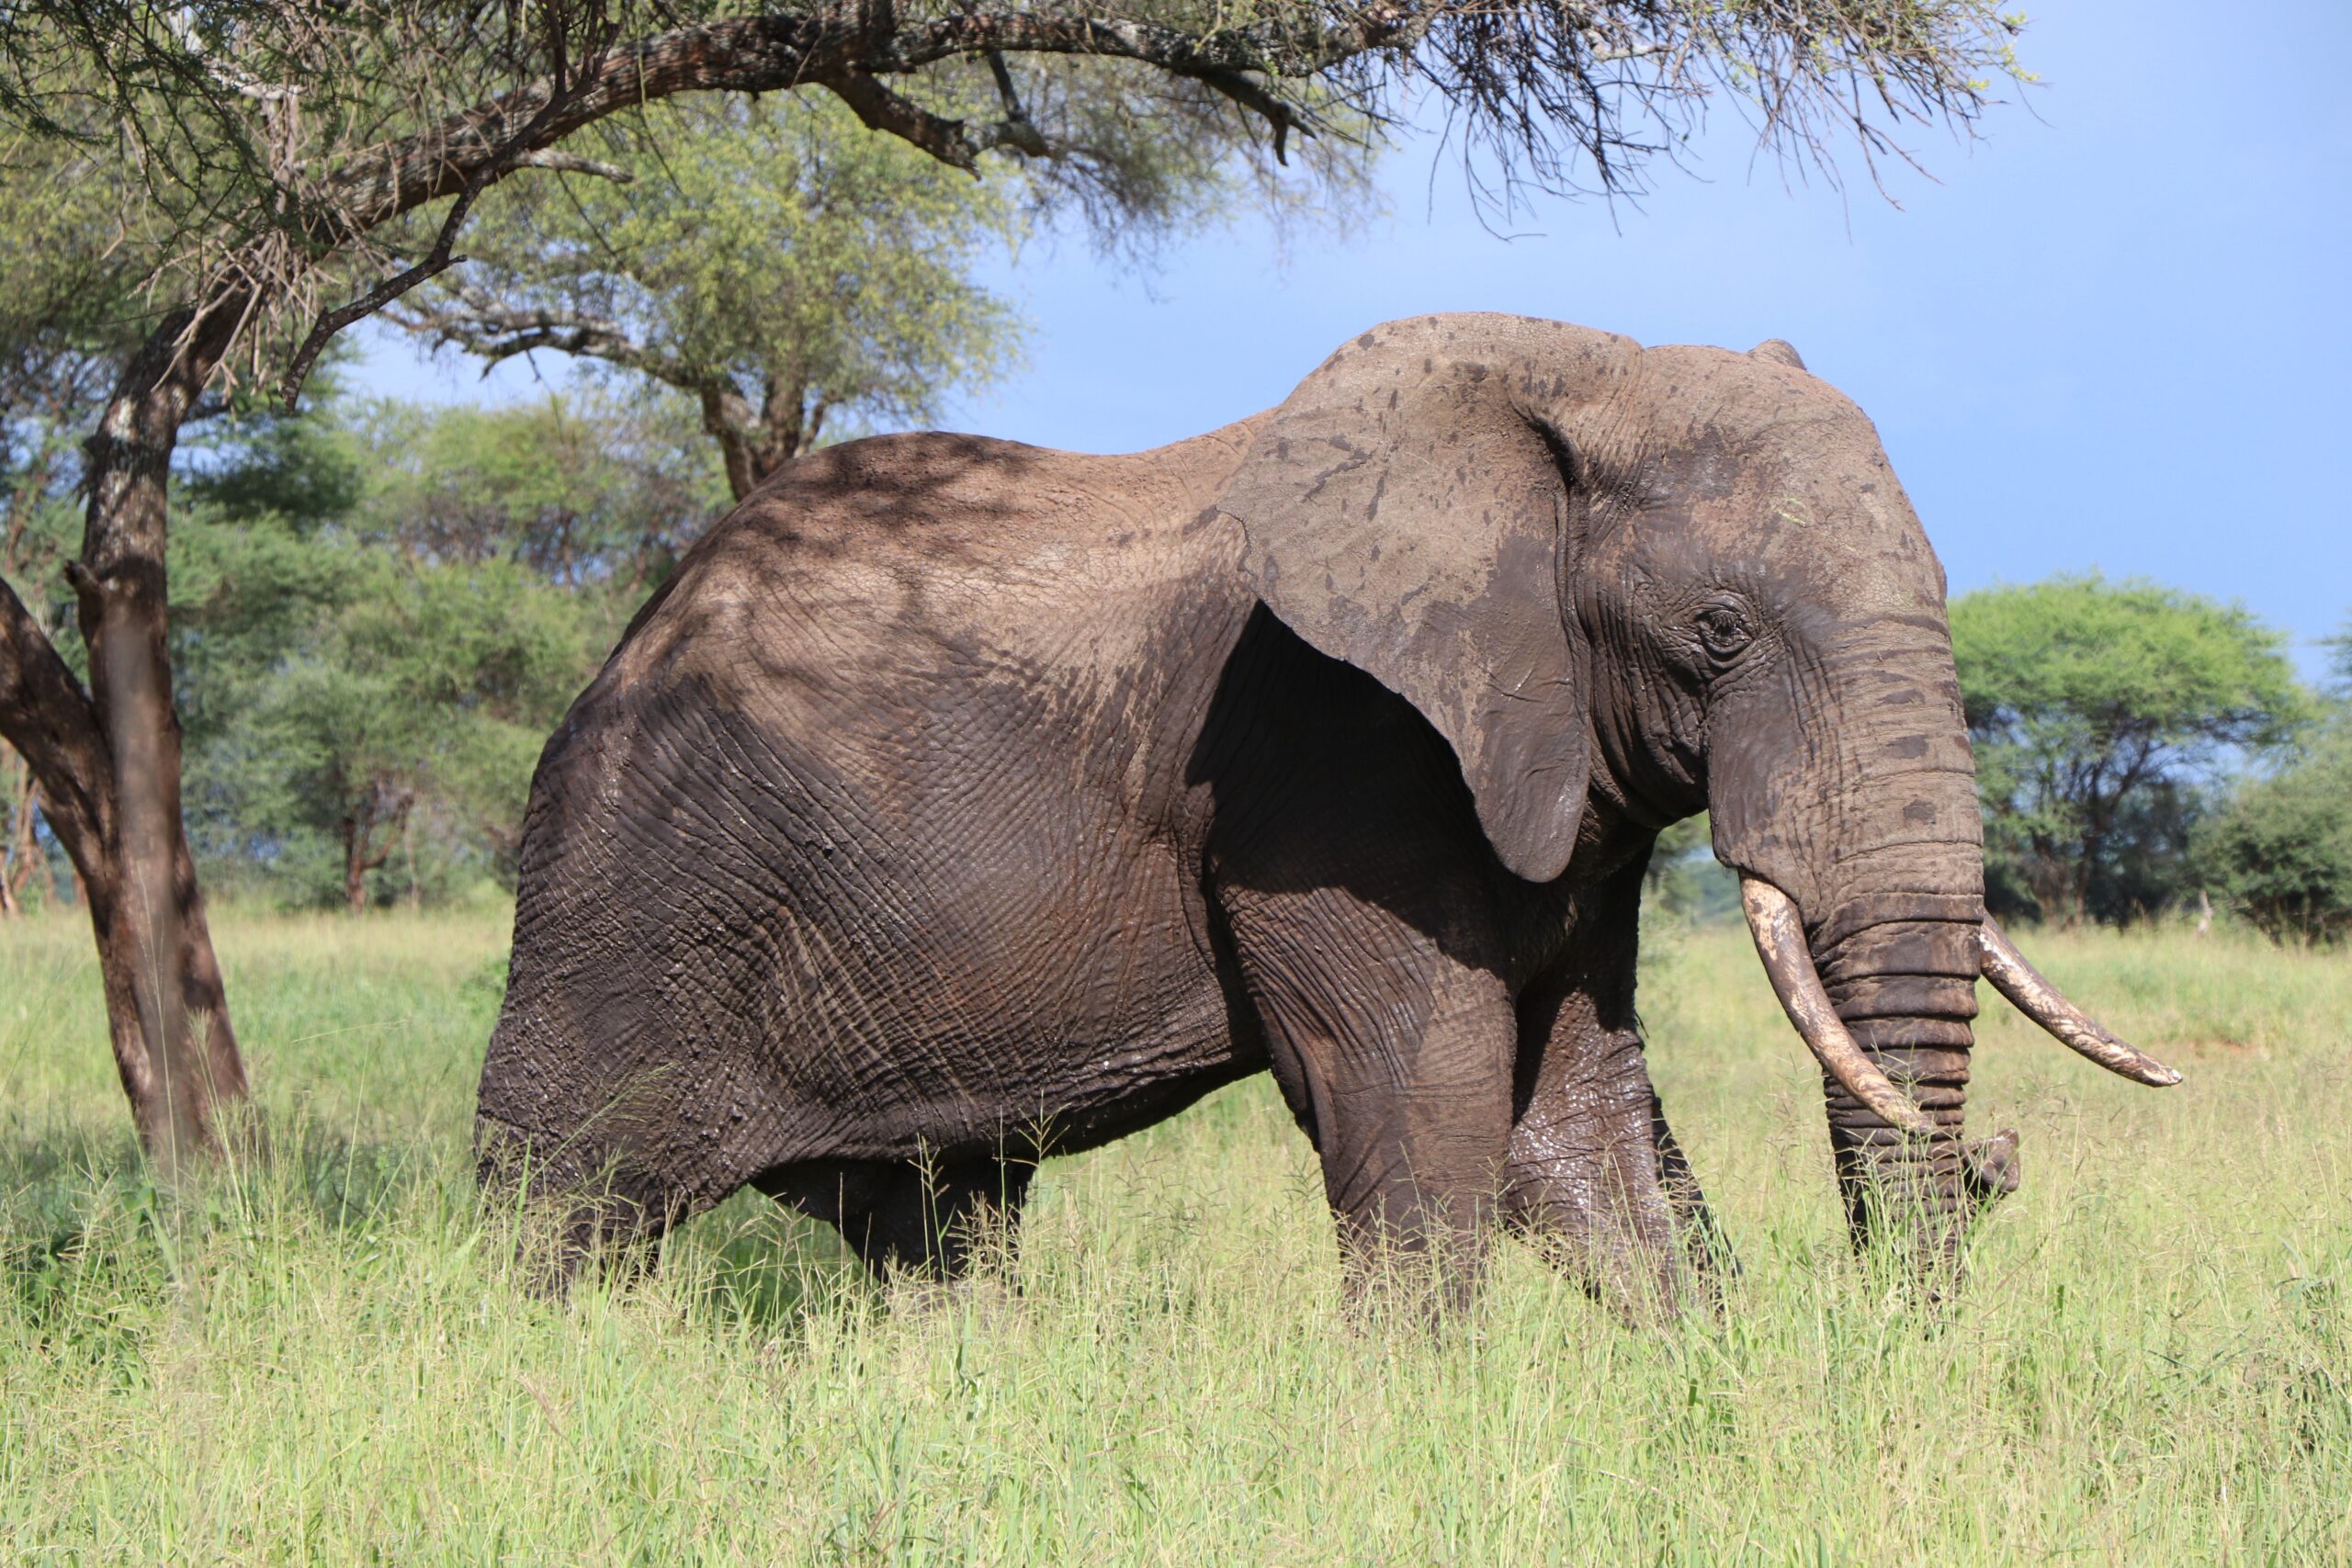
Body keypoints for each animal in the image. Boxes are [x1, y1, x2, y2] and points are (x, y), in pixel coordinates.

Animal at [475, 313, 2179, 1312]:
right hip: (638, 889)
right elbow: (1426, 1102)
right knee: (564, 1205)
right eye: (1719, 633)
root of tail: (631, 632)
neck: (1577, 368)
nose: (1995, 1162)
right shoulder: (1335, 761)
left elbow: (1578, 1122)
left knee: (937, 1228)